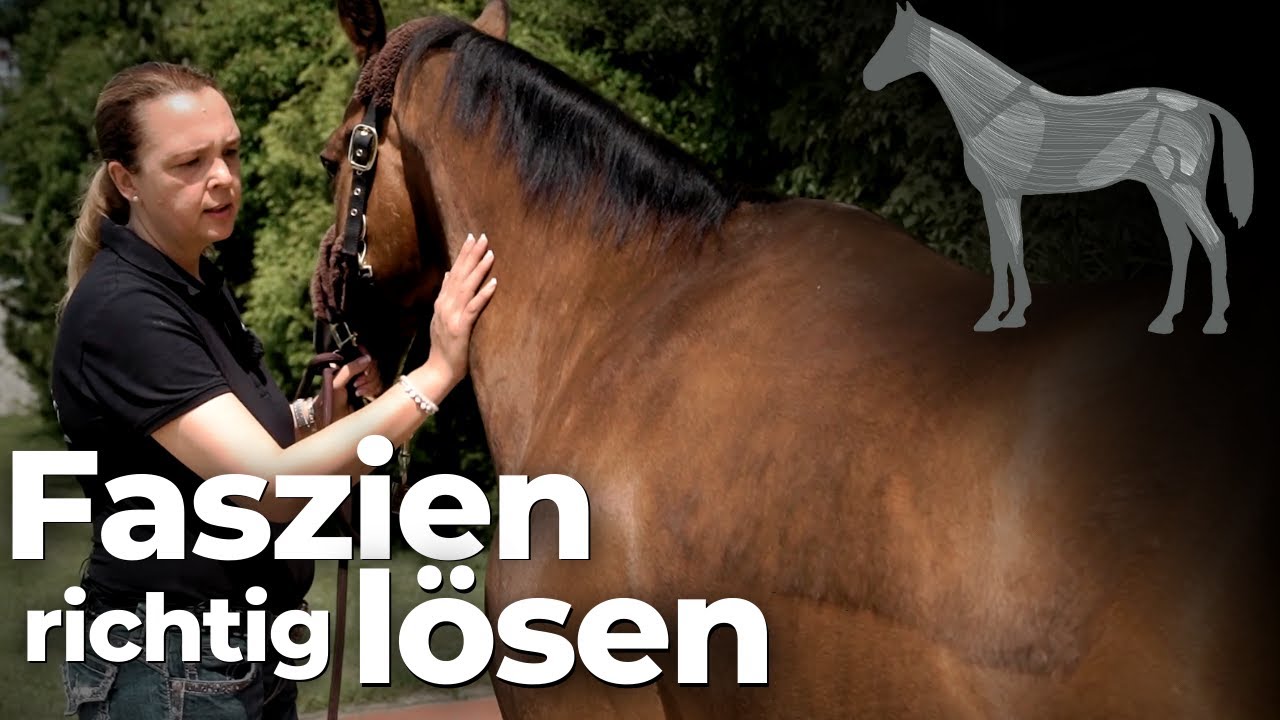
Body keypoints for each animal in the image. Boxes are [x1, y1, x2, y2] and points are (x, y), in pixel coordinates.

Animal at [864, 2, 1255, 335]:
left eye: (893, 43)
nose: (867, 78)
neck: (995, 112)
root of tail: (1198, 104)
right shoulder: (991, 196)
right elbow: (998, 254)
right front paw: (992, 317)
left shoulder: (1006, 193)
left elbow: (1015, 248)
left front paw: (1015, 315)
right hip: (1162, 191)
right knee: (1182, 246)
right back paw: (1164, 321)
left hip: (1183, 189)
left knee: (1214, 240)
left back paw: (1215, 322)